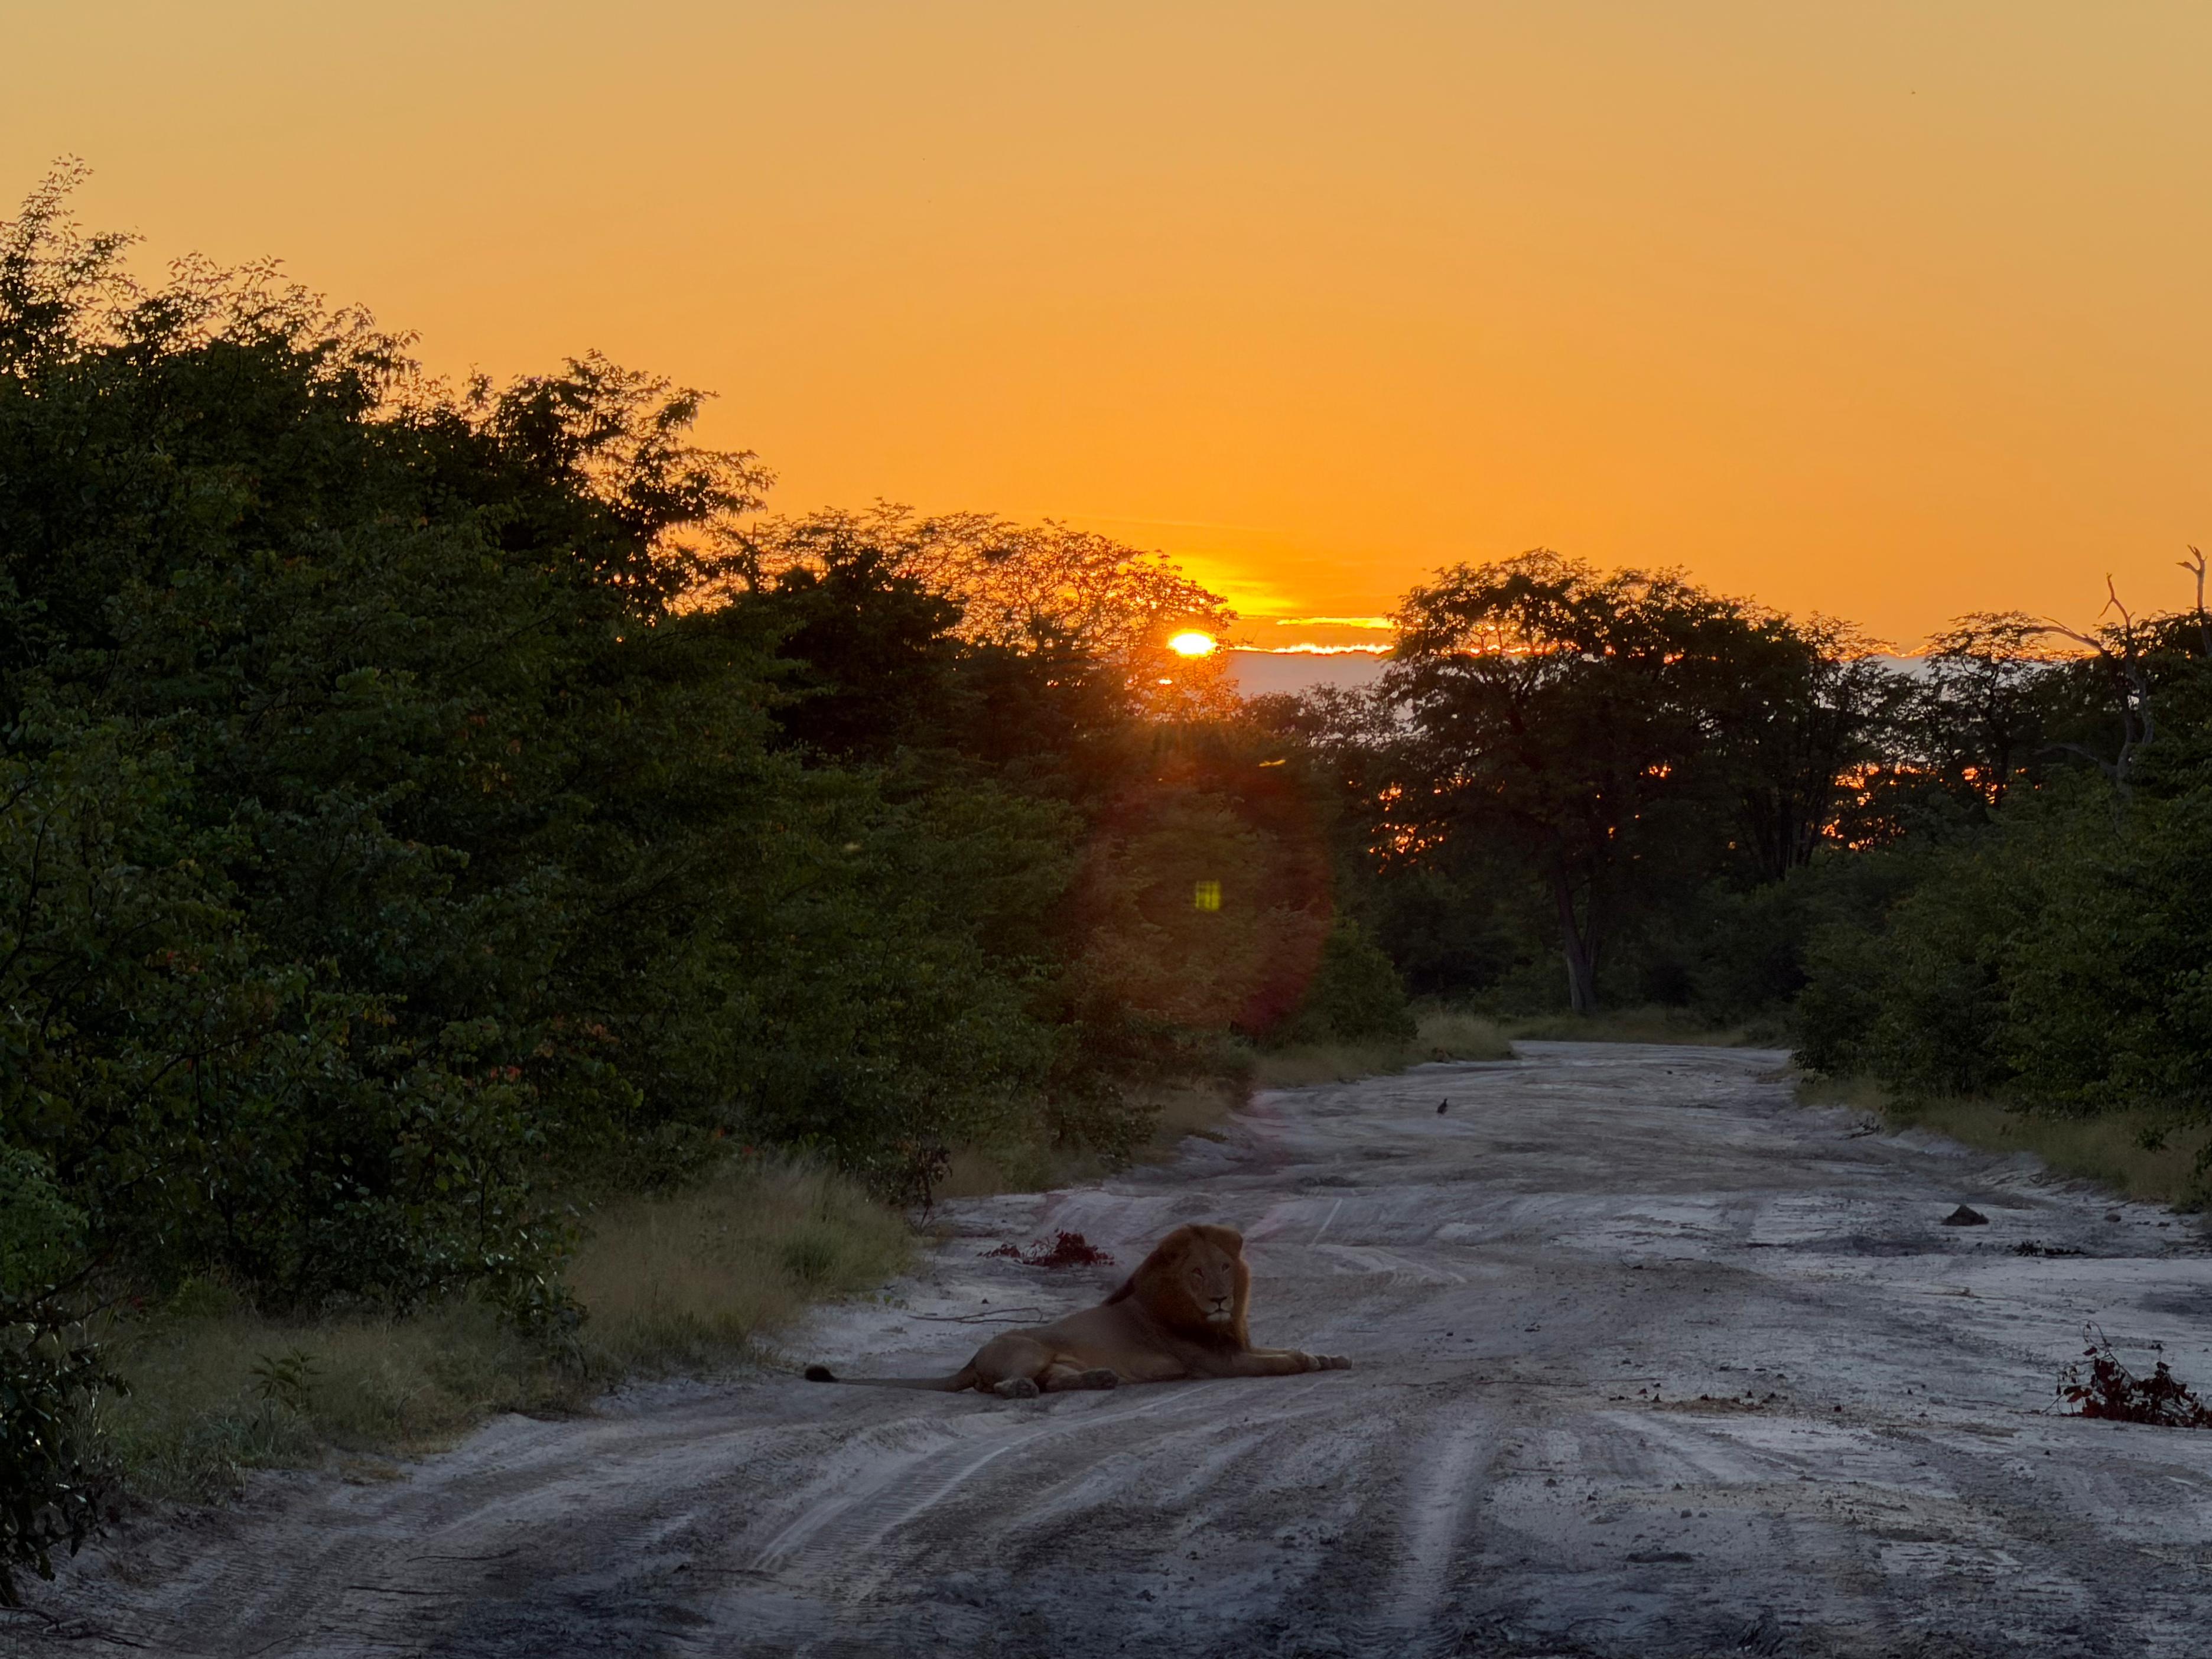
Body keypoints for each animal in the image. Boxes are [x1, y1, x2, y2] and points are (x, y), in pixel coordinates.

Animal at [804, 1222, 1350, 1398]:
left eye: (1224, 1267)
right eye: (1197, 1273)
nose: (1220, 1299)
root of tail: (973, 1354)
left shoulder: (1240, 1343)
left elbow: (1288, 1347)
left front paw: (1329, 1357)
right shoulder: (1216, 1362)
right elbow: (1276, 1363)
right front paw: (1303, 1362)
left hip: (1055, 1362)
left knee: (1056, 1382)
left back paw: (1101, 1378)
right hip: (1028, 1349)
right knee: (995, 1388)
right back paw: (1020, 1389)